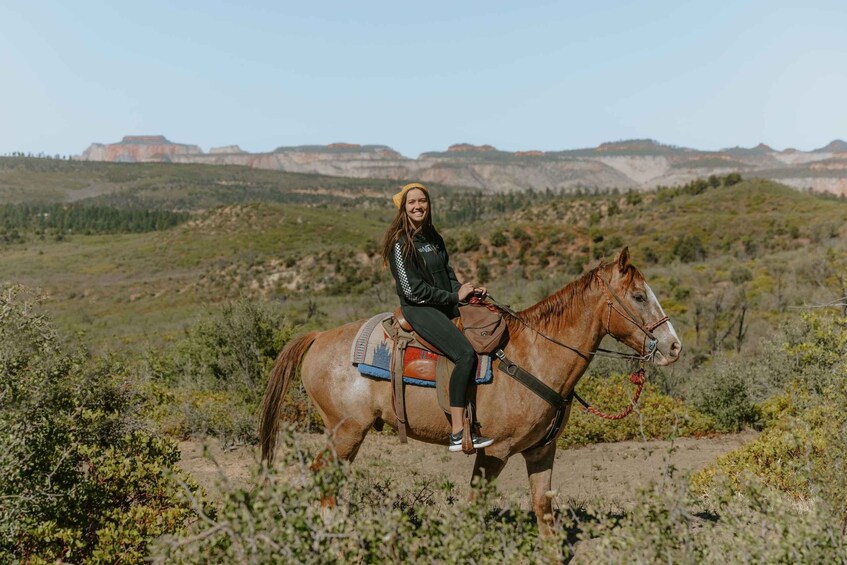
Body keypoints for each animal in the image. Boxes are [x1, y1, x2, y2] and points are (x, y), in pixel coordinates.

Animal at [258, 248, 684, 532]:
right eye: (639, 296)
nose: (674, 346)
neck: (535, 355)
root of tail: (317, 337)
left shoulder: (541, 450)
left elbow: (543, 511)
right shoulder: (494, 451)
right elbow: (477, 507)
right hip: (346, 430)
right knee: (322, 481)